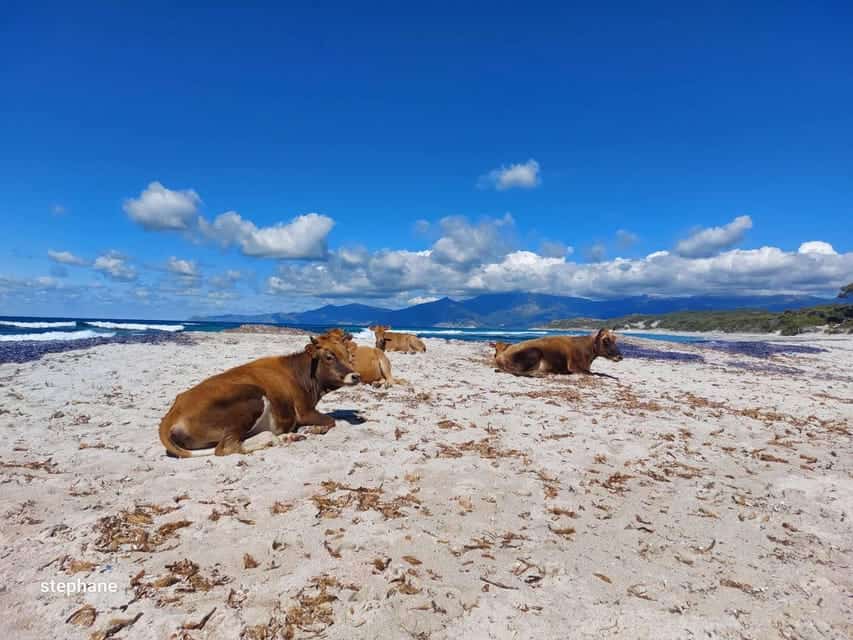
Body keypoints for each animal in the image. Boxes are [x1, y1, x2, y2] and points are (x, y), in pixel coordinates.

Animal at [158, 332, 358, 458]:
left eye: (348, 355)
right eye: (329, 356)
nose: (355, 375)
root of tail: (175, 408)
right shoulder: (304, 411)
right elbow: (330, 420)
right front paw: (314, 429)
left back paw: (287, 437)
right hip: (253, 399)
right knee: (226, 447)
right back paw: (277, 439)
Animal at [490, 330, 624, 376]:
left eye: (615, 339)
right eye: (605, 340)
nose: (620, 356)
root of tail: (500, 356)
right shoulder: (574, 366)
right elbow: (594, 373)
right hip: (534, 352)